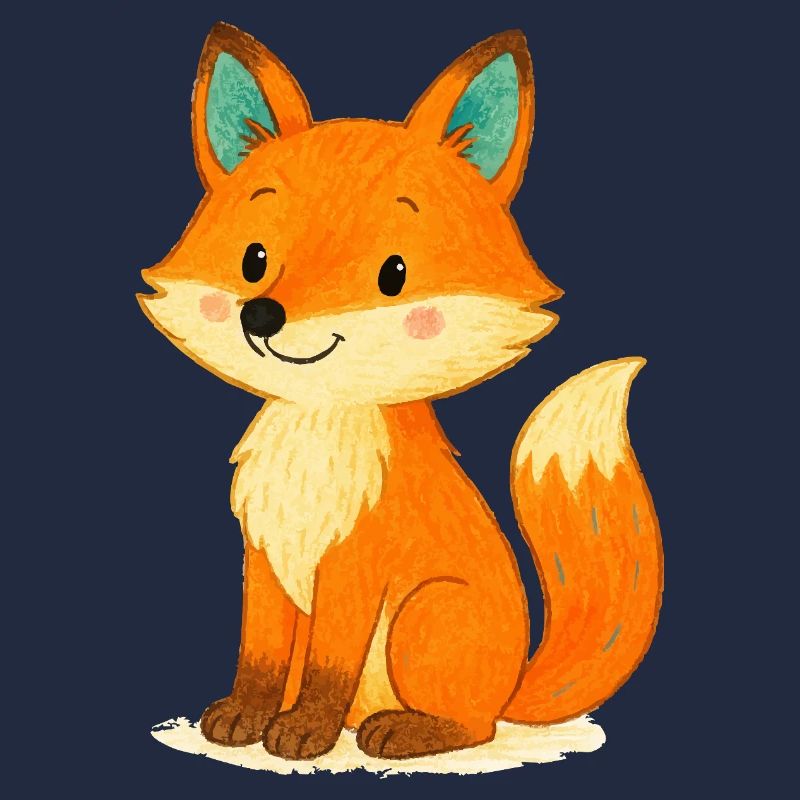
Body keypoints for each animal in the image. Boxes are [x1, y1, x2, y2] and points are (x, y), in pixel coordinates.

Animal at [139, 22, 663, 761]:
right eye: (254, 260)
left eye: (394, 273)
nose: (261, 316)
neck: (320, 431)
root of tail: (511, 686)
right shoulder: (264, 558)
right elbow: (259, 656)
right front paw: (247, 717)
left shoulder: (357, 569)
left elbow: (329, 665)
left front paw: (302, 732)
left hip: (425, 617)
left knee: (472, 726)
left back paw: (401, 730)